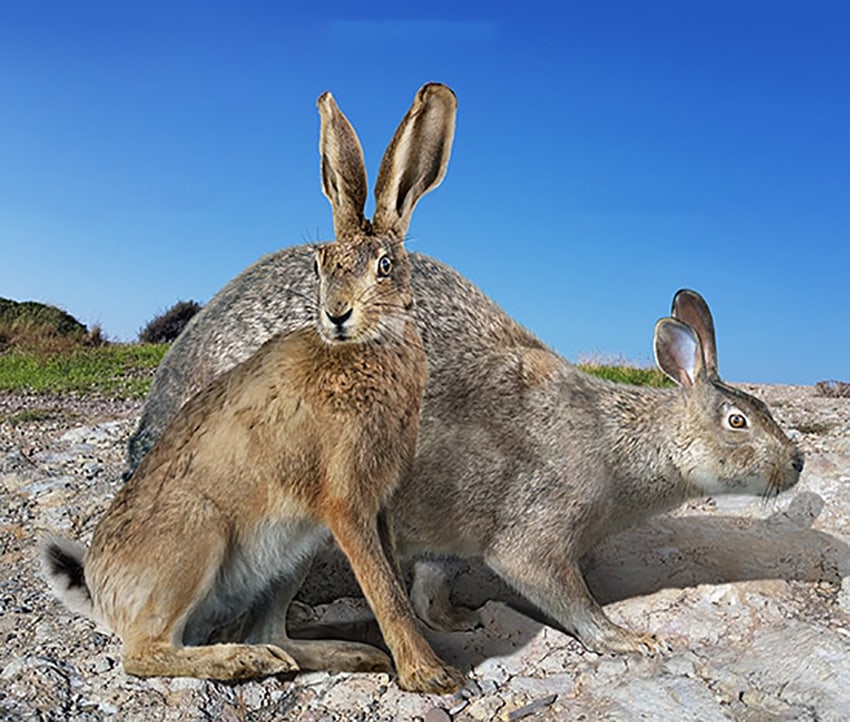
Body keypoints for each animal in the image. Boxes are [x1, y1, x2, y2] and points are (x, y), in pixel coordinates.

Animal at [41, 83, 464, 692]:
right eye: (319, 264)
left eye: (385, 265)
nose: (337, 314)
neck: (358, 353)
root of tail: (103, 591)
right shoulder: (345, 503)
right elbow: (384, 591)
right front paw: (431, 677)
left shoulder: (377, 504)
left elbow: (392, 585)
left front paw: (419, 663)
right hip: (197, 536)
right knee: (144, 652)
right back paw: (242, 662)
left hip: (294, 551)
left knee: (269, 631)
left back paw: (343, 655)